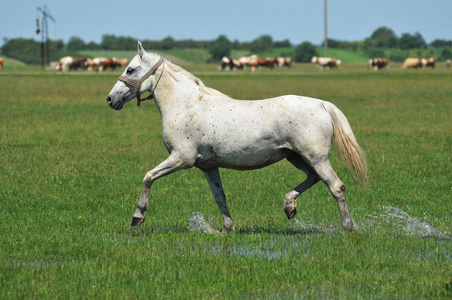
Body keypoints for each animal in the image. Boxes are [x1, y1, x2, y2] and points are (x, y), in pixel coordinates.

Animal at [107, 41, 368, 232]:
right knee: (313, 178)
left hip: (316, 158)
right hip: (296, 157)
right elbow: (220, 197)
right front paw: (227, 228)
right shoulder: (208, 166)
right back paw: (289, 206)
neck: (186, 105)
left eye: (130, 69)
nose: (111, 99)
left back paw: (348, 228)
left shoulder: (181, 159)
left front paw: (137, 217)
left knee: (336, 186)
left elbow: (148, 177)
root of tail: (323, 104)